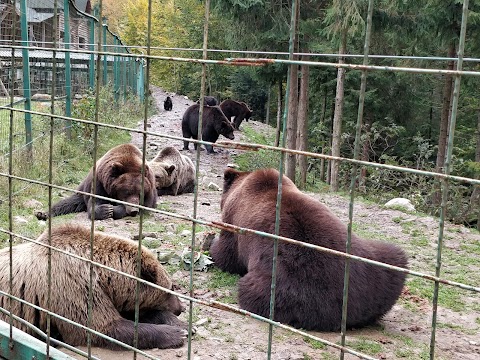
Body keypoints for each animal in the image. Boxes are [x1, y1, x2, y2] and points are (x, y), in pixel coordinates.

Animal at [0, 224, 188, 350]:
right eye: (170, 289)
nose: (181, 308)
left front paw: (183, 326)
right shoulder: (73, 284)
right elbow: (103, 327)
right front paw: (175, 334)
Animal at [208, 169, 406, 332]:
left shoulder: (236, 224)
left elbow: (227, 253)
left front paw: (211, 247)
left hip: (287, 286)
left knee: (254, 293)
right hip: (374, 265)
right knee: (395, 258)